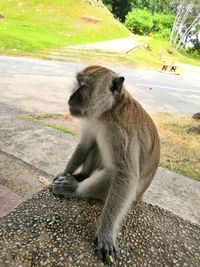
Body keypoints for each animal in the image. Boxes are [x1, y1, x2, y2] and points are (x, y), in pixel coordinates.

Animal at [50, 65, 160, 266]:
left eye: (84, 86)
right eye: (78, 83)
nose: (71, 96)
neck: (108, 111)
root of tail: (141, 195)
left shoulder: (121, 132)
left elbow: (126, 175)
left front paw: (106, 234)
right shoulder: (93, 120)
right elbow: (85, 143)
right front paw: (65, 172)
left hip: (132, 194)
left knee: (113, 175)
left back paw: (74, 189)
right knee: (95, 146)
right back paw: (81, 176)